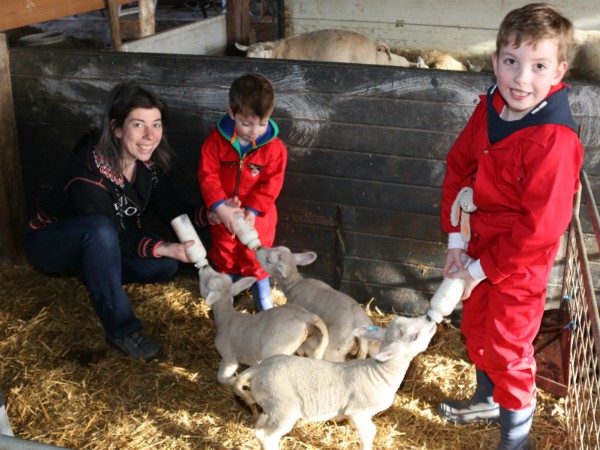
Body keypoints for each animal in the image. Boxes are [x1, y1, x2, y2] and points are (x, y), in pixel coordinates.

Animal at [198, 266, 328, 384]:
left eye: (206, 284)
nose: (205, 266)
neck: (225, 316)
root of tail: (306, 316)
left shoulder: (229, 357)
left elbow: (221, 378)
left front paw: (235, 380)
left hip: (277, 349)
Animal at [233, 312, 436, 450]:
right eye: (414, 336)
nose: (429, 317)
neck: (379, 372)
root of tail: (258, 369)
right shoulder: (358, 411)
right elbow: (369, 433)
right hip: (283, 407)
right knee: (265, 435)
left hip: (270, 405)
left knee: (260, 425)